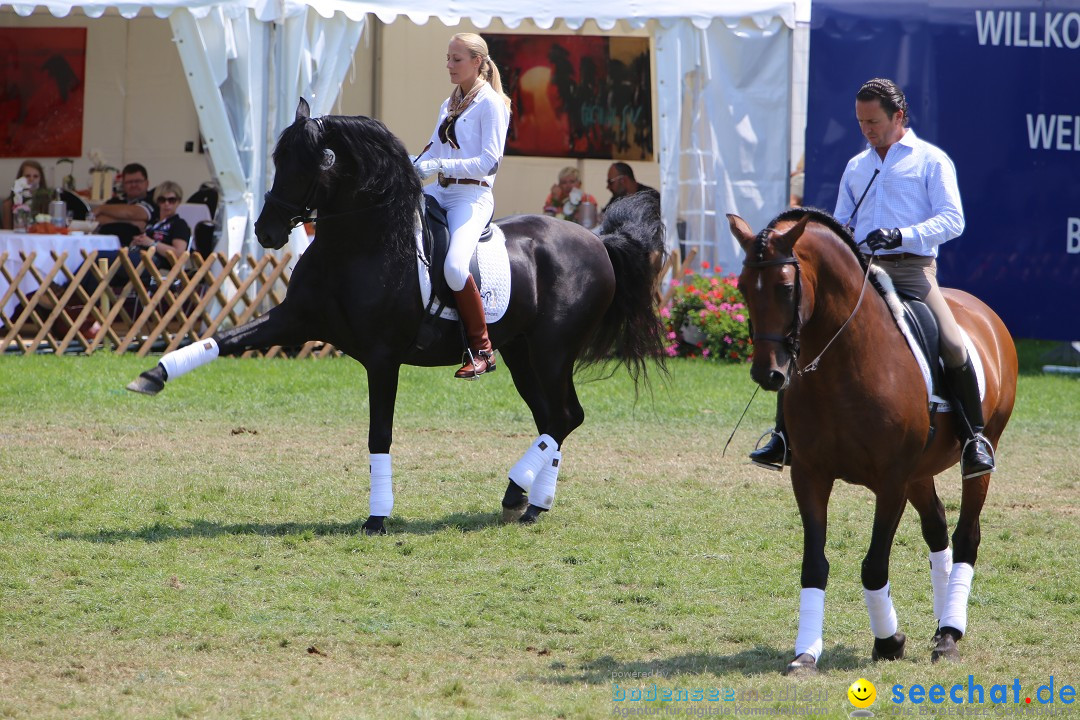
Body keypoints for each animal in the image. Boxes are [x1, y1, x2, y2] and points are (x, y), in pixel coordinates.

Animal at [126, 98, 665, 535]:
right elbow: (225, 339)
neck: (359, 245)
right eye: (277, 160)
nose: (268, 231)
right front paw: (151, 376)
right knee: (551, 417)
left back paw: (522, 495)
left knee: (566, 415)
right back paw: (529, 502)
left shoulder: (382, 358)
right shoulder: (294, 321)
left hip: (553, 350)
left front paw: (377, 517)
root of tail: (598, 239)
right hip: (520, 353)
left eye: (317, 163)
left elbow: (378, 434)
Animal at [730, 208, 1015, 677]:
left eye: (786, 287)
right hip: (920, 472)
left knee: (966, 537)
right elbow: (814, 565)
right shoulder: (809, 475)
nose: (768, 374)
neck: (845, 362)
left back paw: (949, 634)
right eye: (741, 287)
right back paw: (940, 623)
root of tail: (985, 313)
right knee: (937, 529)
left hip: (978, 452)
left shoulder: (891, 481)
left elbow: (873, 566)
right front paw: (805, 654)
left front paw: (889, 642)